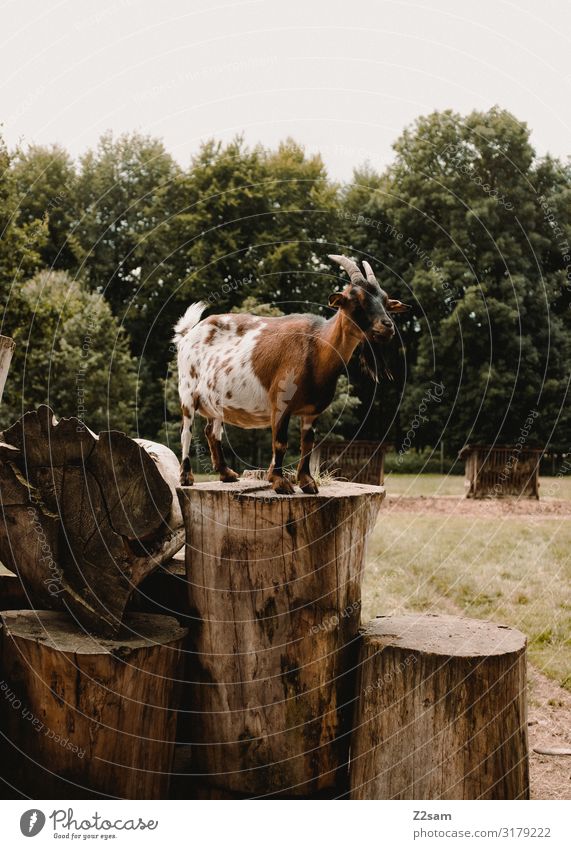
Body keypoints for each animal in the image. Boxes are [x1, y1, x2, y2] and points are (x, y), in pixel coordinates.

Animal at [174, 253, 412, 490]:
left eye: (385, 301)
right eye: (356, 300)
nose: (387, 326)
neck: (318, 347)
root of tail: (189, 332)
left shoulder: (311, 411)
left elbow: (307, 443)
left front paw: (307, 482)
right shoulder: (281, 403)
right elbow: (280, 442)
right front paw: (280, 482)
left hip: (216, 401)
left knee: (212, 432)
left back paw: (226, 473)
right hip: (187, 391)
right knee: (186, 432)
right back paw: (186, 477)